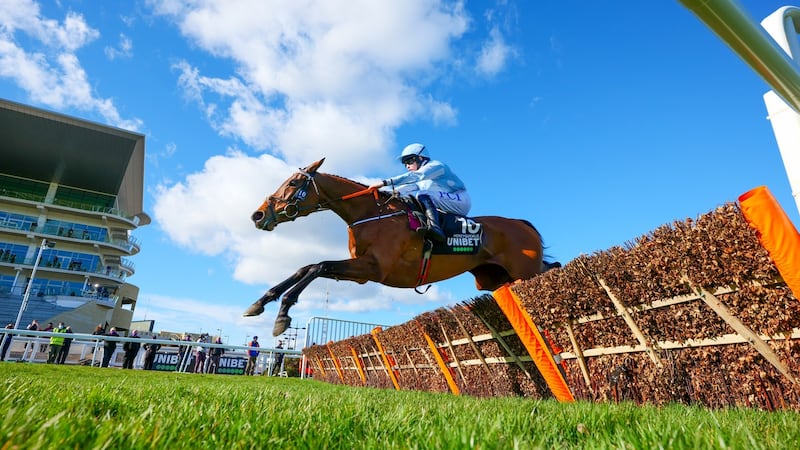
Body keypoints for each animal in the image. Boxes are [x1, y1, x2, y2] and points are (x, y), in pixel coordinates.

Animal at [247, 157, 552, 334]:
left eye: (294, 182)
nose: (258, 215)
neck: (370, 213)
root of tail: (523, 224)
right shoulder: (360, 271)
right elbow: (307, 267)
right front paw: (260, 302)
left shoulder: (373, 268)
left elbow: (318, 266)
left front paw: (283, 315)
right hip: (495, 279)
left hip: (524, 274)